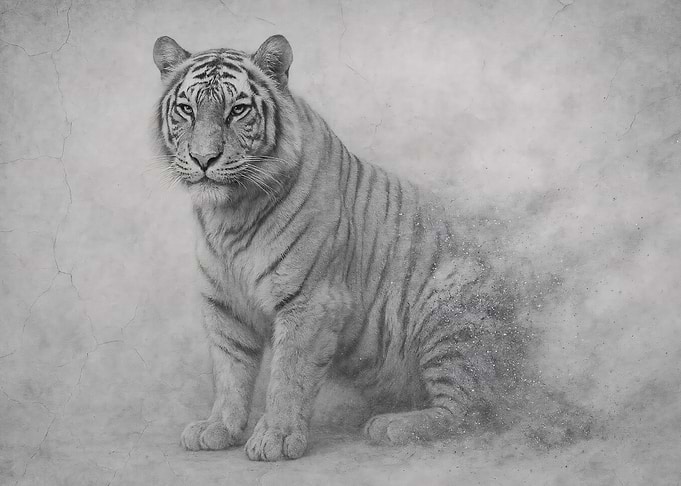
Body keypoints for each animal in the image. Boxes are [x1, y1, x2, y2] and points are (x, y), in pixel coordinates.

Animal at [151, 34, 586, 461]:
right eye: (187, 110)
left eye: (237, 110)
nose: (204, 159)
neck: (230, 215)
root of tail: (527, 371)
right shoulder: (224, 305)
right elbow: (230, 372)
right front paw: (218, 428)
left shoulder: (310, 302)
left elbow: (288, 376)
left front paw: (276, 436)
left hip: (449, 308)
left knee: (467, 411)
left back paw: (391, 426)